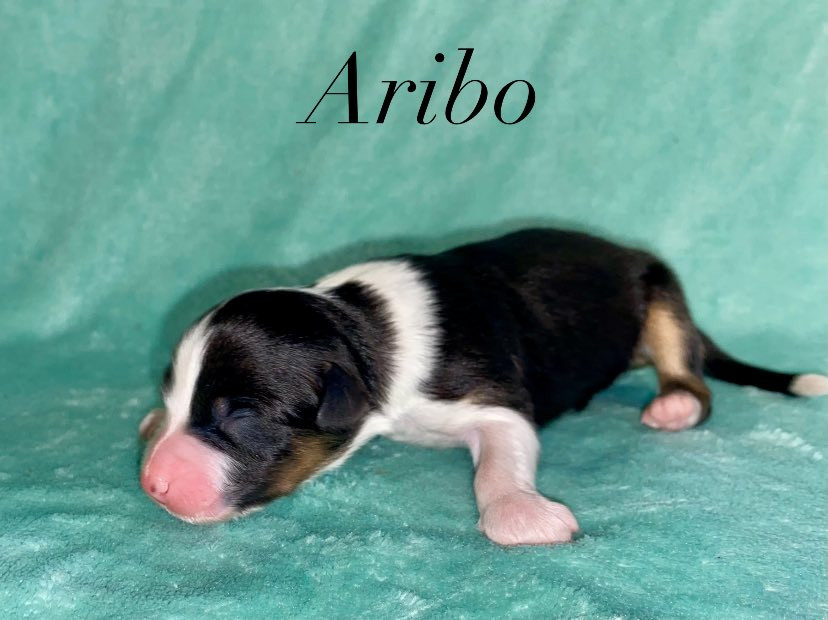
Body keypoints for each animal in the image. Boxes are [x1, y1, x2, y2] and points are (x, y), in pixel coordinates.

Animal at [139, 228, 827, 545]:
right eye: (175, 395)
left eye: (242, 415)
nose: (151, 483)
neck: (359, 326)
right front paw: (151, 421)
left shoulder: (492, 400)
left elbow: (498, 460)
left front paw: (522, 514)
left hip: (661, 292)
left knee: (690, 370)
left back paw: (676, 403)